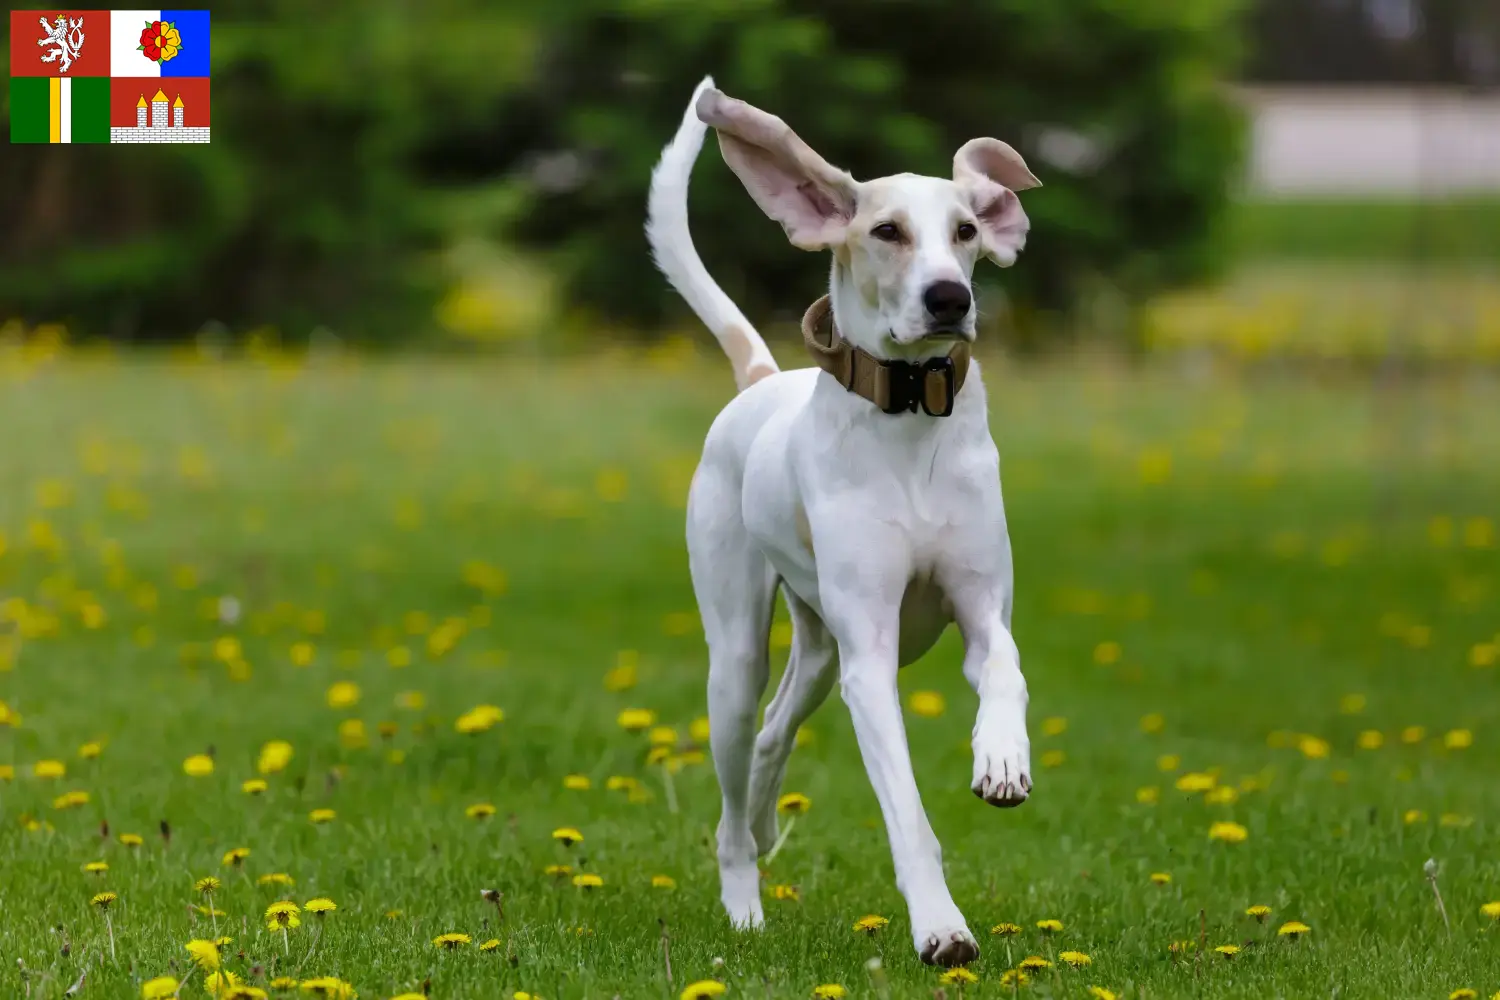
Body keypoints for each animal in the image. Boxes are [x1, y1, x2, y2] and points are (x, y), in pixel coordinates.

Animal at [645, 78, 1044, 971]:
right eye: (886, 231)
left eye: (967, 231)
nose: (950, 298)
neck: (913, 423)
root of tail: (762, 379)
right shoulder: (870, 659)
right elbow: (907, 813)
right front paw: (941, 928)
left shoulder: (980, 609)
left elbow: (1005, 667)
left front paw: (1002, 756)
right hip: (740, 655)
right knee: (732, 791)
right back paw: (744, 904)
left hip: (818, 651)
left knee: (772, 736)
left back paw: (767, 826)